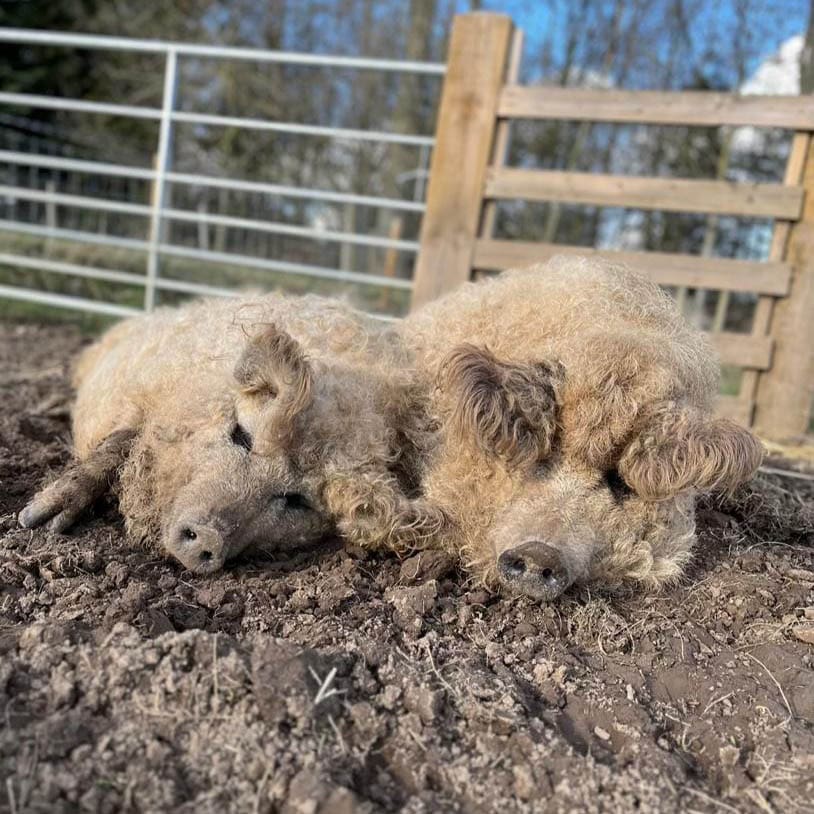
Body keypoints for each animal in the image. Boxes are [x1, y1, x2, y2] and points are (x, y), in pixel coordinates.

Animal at [19, 294, 444, 572]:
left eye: (296, 500)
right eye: (242, 434)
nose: (208, 536)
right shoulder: (145, 399)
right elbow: (116, 445)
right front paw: (38, 521)